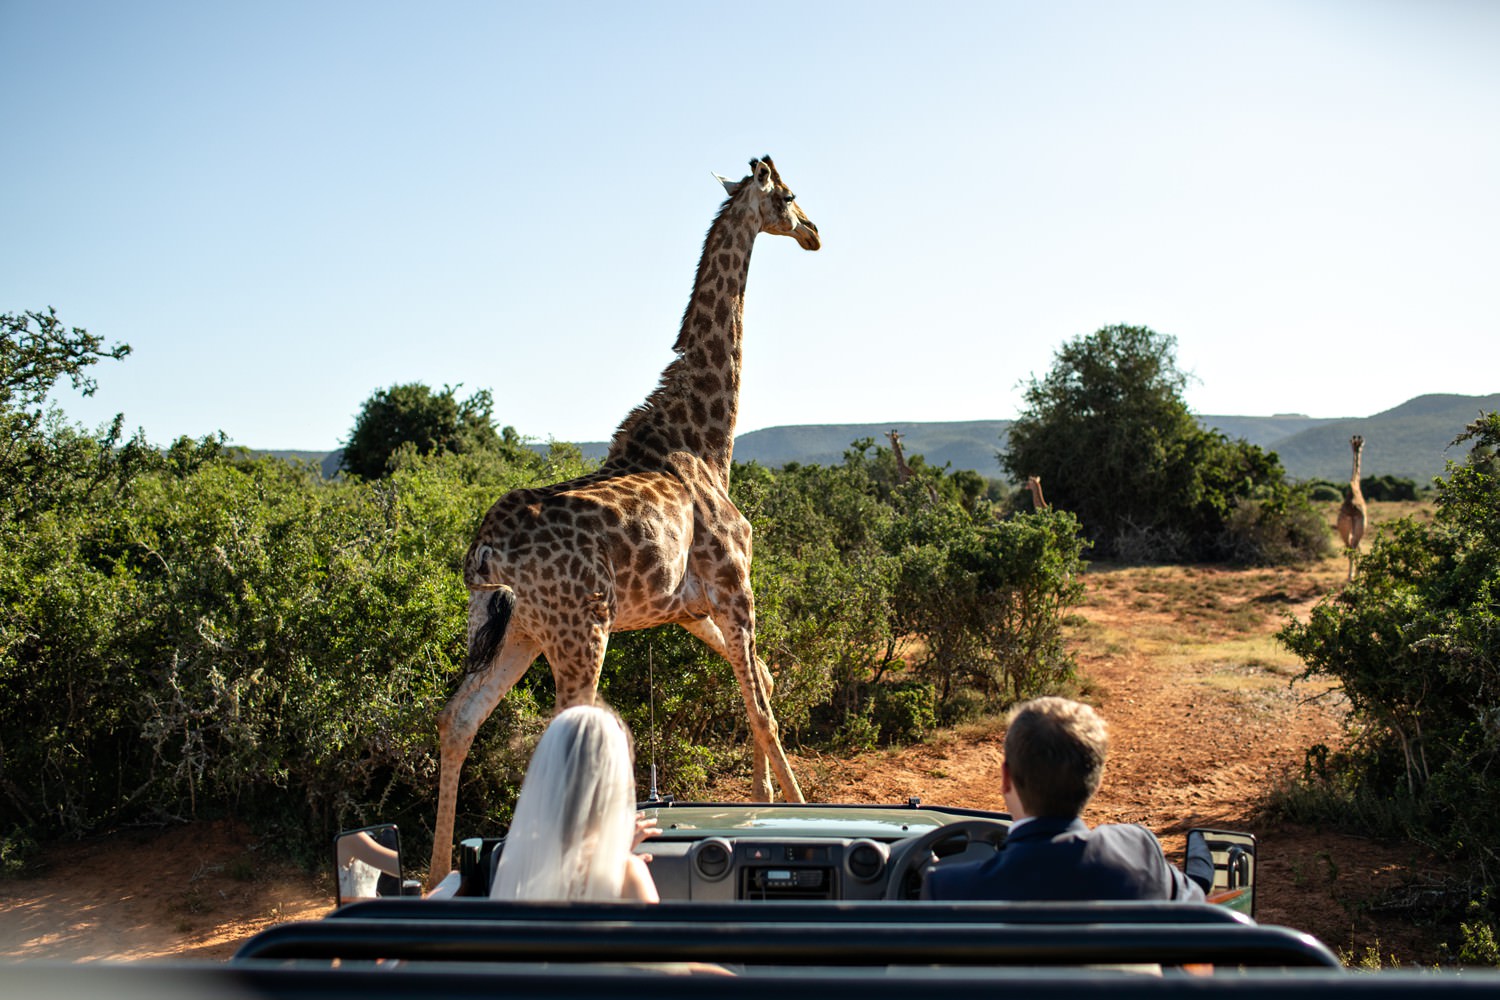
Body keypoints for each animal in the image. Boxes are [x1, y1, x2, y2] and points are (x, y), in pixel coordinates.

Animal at [423, 156, 822, 881]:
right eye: (789, 195)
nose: (814, 234)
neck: (704, 440)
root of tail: (485, 553)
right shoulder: (735, 587)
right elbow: (763, 707)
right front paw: (800, 807)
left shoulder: (689, 607)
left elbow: (762, 684)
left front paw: (764, 802)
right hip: (582, 629)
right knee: (560, 734)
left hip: (516, 631)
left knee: (457, 719)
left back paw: (437, 874)